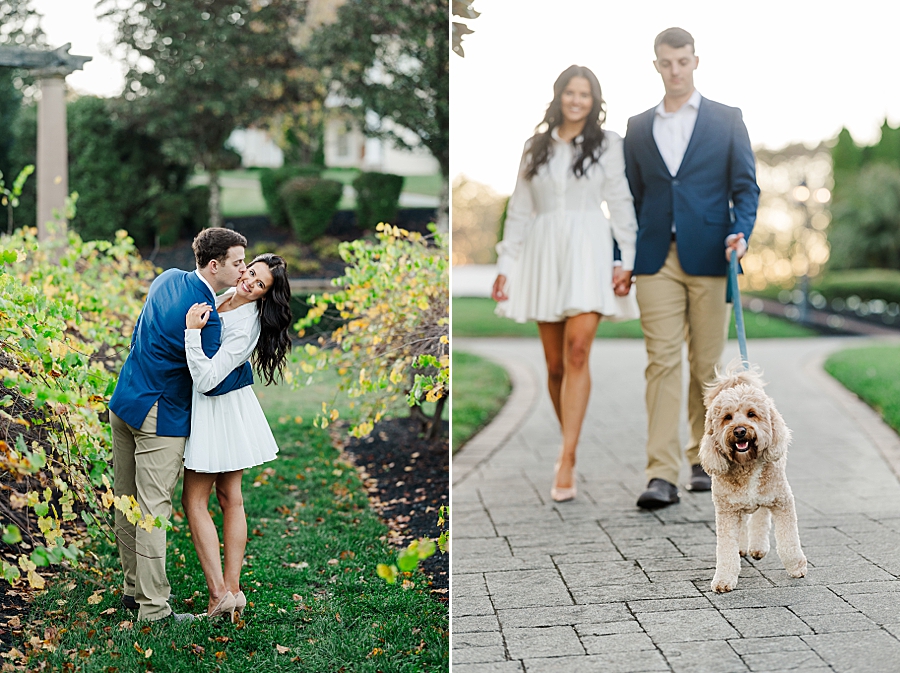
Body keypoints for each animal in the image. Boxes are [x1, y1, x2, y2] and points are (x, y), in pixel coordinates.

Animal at [696, 364, 808, 592]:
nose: (740, 431)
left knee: (760, 515)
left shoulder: (782, 501)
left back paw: (758, 547)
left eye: (751, 414)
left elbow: (788, 541)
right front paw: (724, 580)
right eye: (727, 417)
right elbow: (726, 549)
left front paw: (796, 567)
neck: (746, 464)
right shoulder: (727, 512)